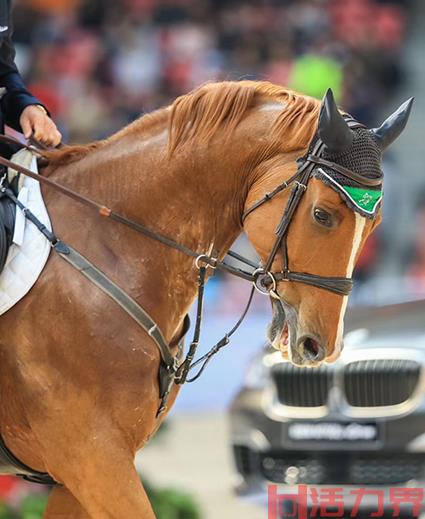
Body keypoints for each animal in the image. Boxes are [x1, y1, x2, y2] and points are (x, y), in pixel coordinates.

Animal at [0, 81, 410, 516]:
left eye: (375, 225)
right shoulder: (92, 456)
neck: (109, 244)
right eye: (322, 215)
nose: (322, 347)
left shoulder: (79, 470)